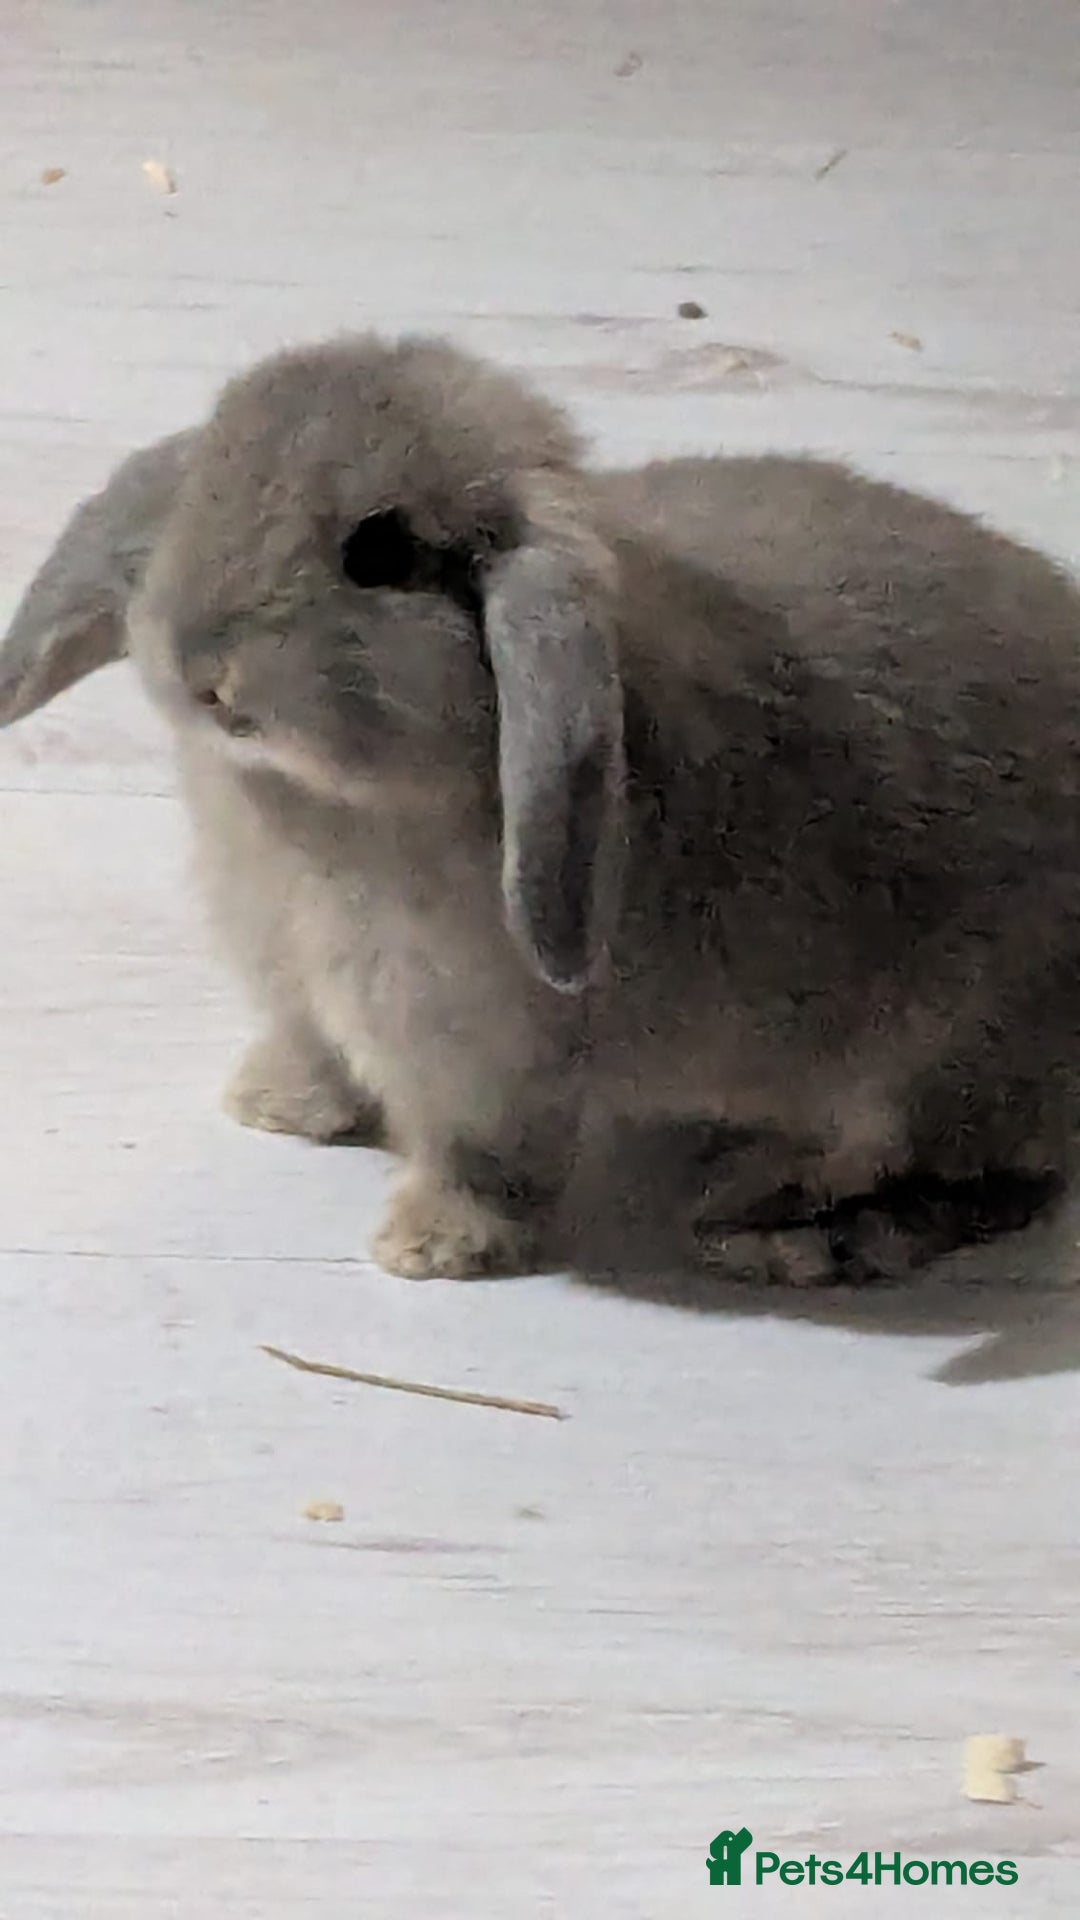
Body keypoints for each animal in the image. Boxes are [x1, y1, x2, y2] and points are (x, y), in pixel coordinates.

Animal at [3, 331, 1080, 1284]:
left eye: (382, 552)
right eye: (205, 482)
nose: (201, 672)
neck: (316, 805)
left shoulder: (477, 1061)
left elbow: (481, 1162)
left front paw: (428, 1249)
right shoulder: (294, 978)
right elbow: (315, 1054)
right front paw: (273, 1105)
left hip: (959, 1063)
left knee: (993, 1180)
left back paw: (791, 1231)